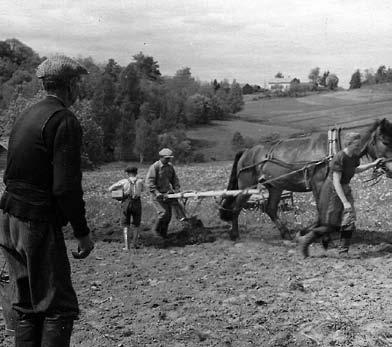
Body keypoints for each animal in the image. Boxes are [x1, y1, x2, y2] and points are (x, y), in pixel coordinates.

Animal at [219, 118, 392, 241]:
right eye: (385, 141)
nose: (391, 169)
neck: (335, 148)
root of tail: (247, 151)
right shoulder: (318, 184)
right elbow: (321, 212)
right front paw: (307, 232)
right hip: (247, 186)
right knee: (237, 207)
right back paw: (234, 234)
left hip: (276, 187)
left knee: (270, 209)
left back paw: (285, 234)